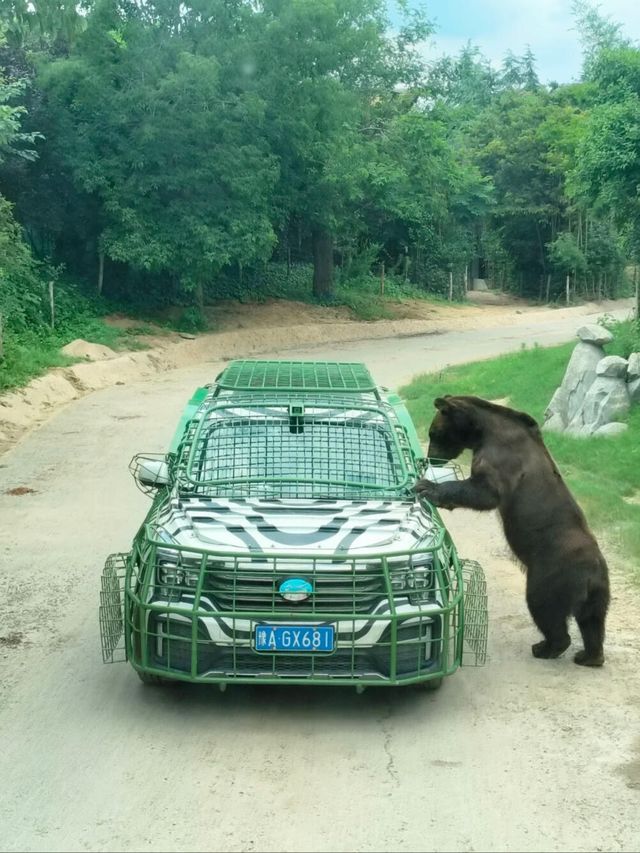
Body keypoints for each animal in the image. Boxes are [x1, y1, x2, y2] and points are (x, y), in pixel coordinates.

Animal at [416, 392, 608, 664]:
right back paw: (589, 656)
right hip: (598, 593)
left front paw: (428, 487)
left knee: (544, 607)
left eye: (434, 432)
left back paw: (546, 647)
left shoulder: (500, 460)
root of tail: (592, 573)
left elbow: (484, 492)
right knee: (592, 622)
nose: (431, 456)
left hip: (550, 573)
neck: (483, 431)